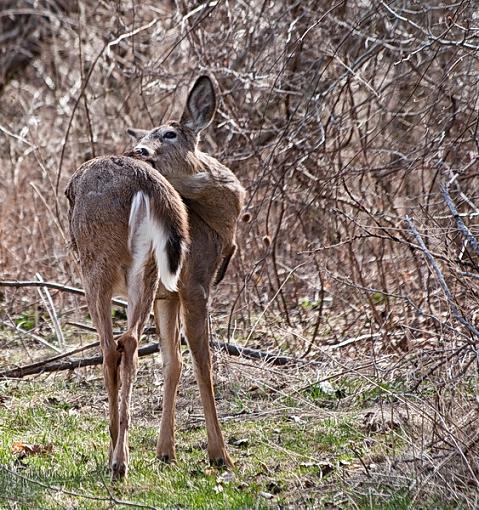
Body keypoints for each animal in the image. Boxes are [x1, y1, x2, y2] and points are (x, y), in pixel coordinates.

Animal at [65, 74, 246, 478]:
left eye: (170, 133)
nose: (140, 150)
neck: (213, 222)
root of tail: (146, 184)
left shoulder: (169, 295)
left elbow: (172, 363)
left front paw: (166, 451)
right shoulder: (195, 285)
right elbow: (202, 362)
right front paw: (219, 454)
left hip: (114, 270)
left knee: (112, 344)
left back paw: (115, 450)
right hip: (117, 265)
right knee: (125, 342)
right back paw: (120, 458)